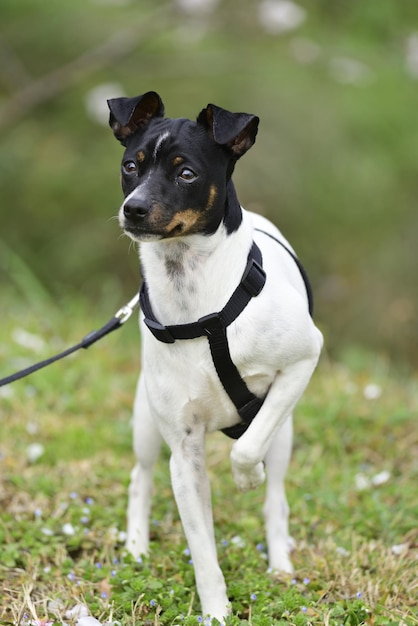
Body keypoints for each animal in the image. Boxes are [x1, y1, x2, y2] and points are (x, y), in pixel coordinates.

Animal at [107, 89, 324, 620]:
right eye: (130, 165)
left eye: (186, 173)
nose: (133, 209)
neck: (201, 309)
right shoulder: (184, 456)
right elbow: (202, 551)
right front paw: (217, 612)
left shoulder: (304, 359)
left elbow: (248, 449)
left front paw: (246, 477)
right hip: (146, 424)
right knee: (140, 478)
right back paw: (137, 549)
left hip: (285, 432)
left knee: (276, 498)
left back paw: (281, 562)